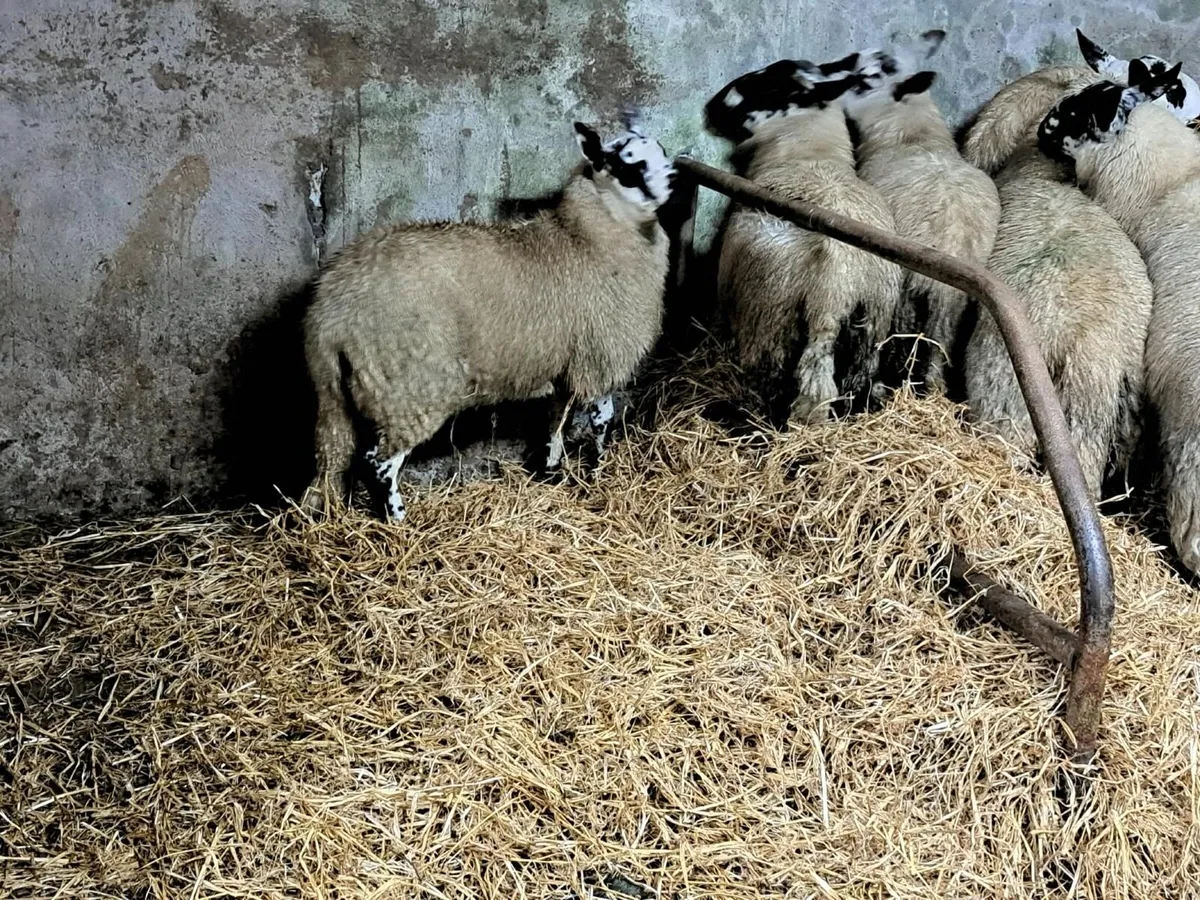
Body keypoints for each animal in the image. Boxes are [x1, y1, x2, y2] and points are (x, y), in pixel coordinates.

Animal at [299, 118, 676, 522]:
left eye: (661, 151)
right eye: (626, 165)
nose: (673, 177)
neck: (584, 237)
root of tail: (332, 310)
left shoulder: (564, 361)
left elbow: (554, 420)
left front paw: (553, 469)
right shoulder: (601, 358)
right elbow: (601, 419)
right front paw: (600, 468)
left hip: (337, 393)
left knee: (334, 457)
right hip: (407, 388)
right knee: (379, 462)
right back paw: (399, 520)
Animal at [705, 60, 903, 425]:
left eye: (768, 84)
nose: (713, 107)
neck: (808, 151)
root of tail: (836, 288)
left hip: (769, 324)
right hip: (870, 331)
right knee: (855, 387)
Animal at [840, 31, 1001, 396]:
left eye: (870, 77)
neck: (912, 135)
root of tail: (954, 239)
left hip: (909, 284)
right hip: (953, 300)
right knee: (939, 346)